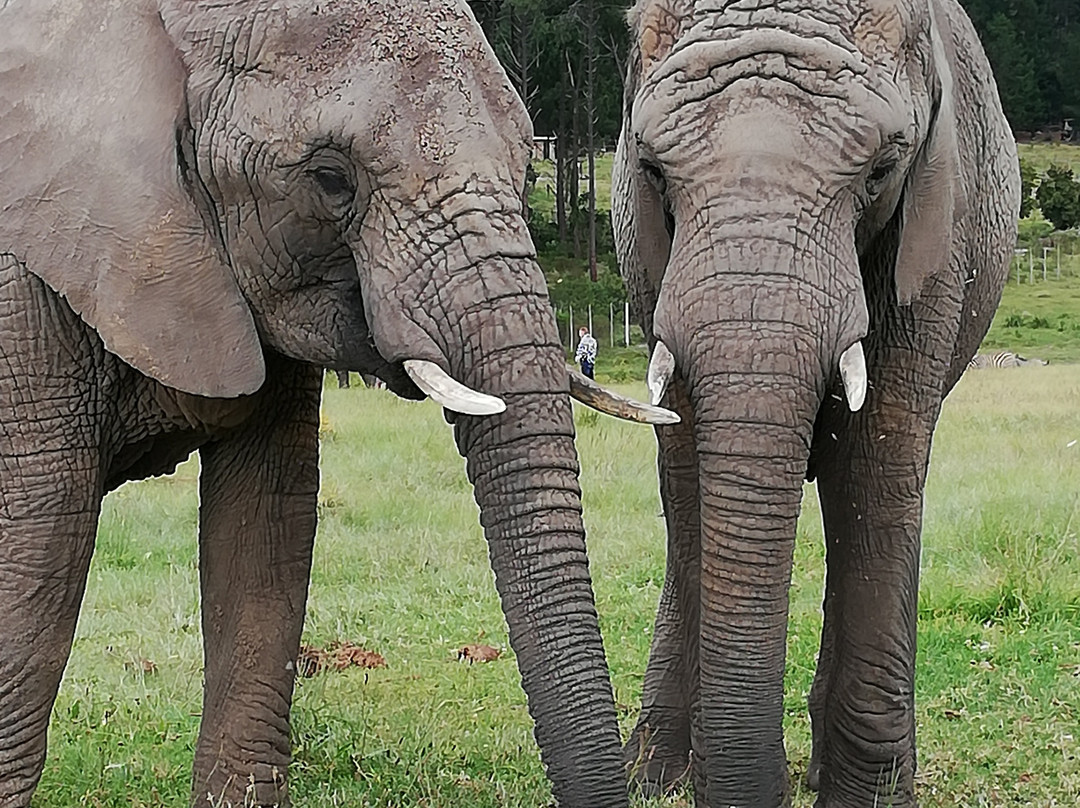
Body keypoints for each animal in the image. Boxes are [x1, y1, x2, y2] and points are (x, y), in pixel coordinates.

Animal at [612, 1, 1020, 806]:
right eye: (652, 169)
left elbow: (875, 462)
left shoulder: (938, 234)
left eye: (882, 169)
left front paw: (871, 796)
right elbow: (687, 463)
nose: (760, 787)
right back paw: (655, 770)